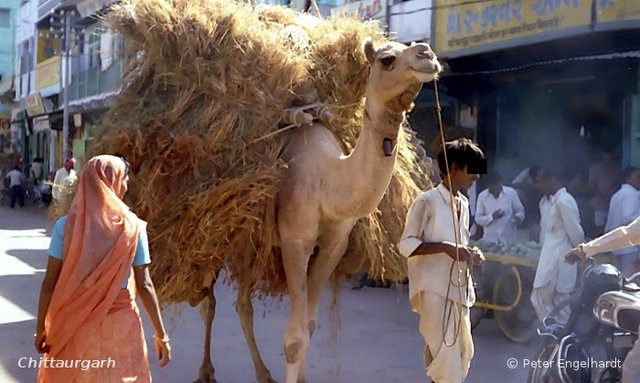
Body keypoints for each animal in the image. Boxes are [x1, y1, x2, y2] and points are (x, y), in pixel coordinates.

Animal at [195, 38, 442, 383]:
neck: (328, 181)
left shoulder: (332, 246)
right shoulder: (294, 240)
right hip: (215, 234)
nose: (426, 54)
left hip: (249, 243)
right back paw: (205, 371)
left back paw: (263, 373)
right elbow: (295, 339)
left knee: (242, 303)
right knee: (208, 299)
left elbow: (309, 326)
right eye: (387, 59)